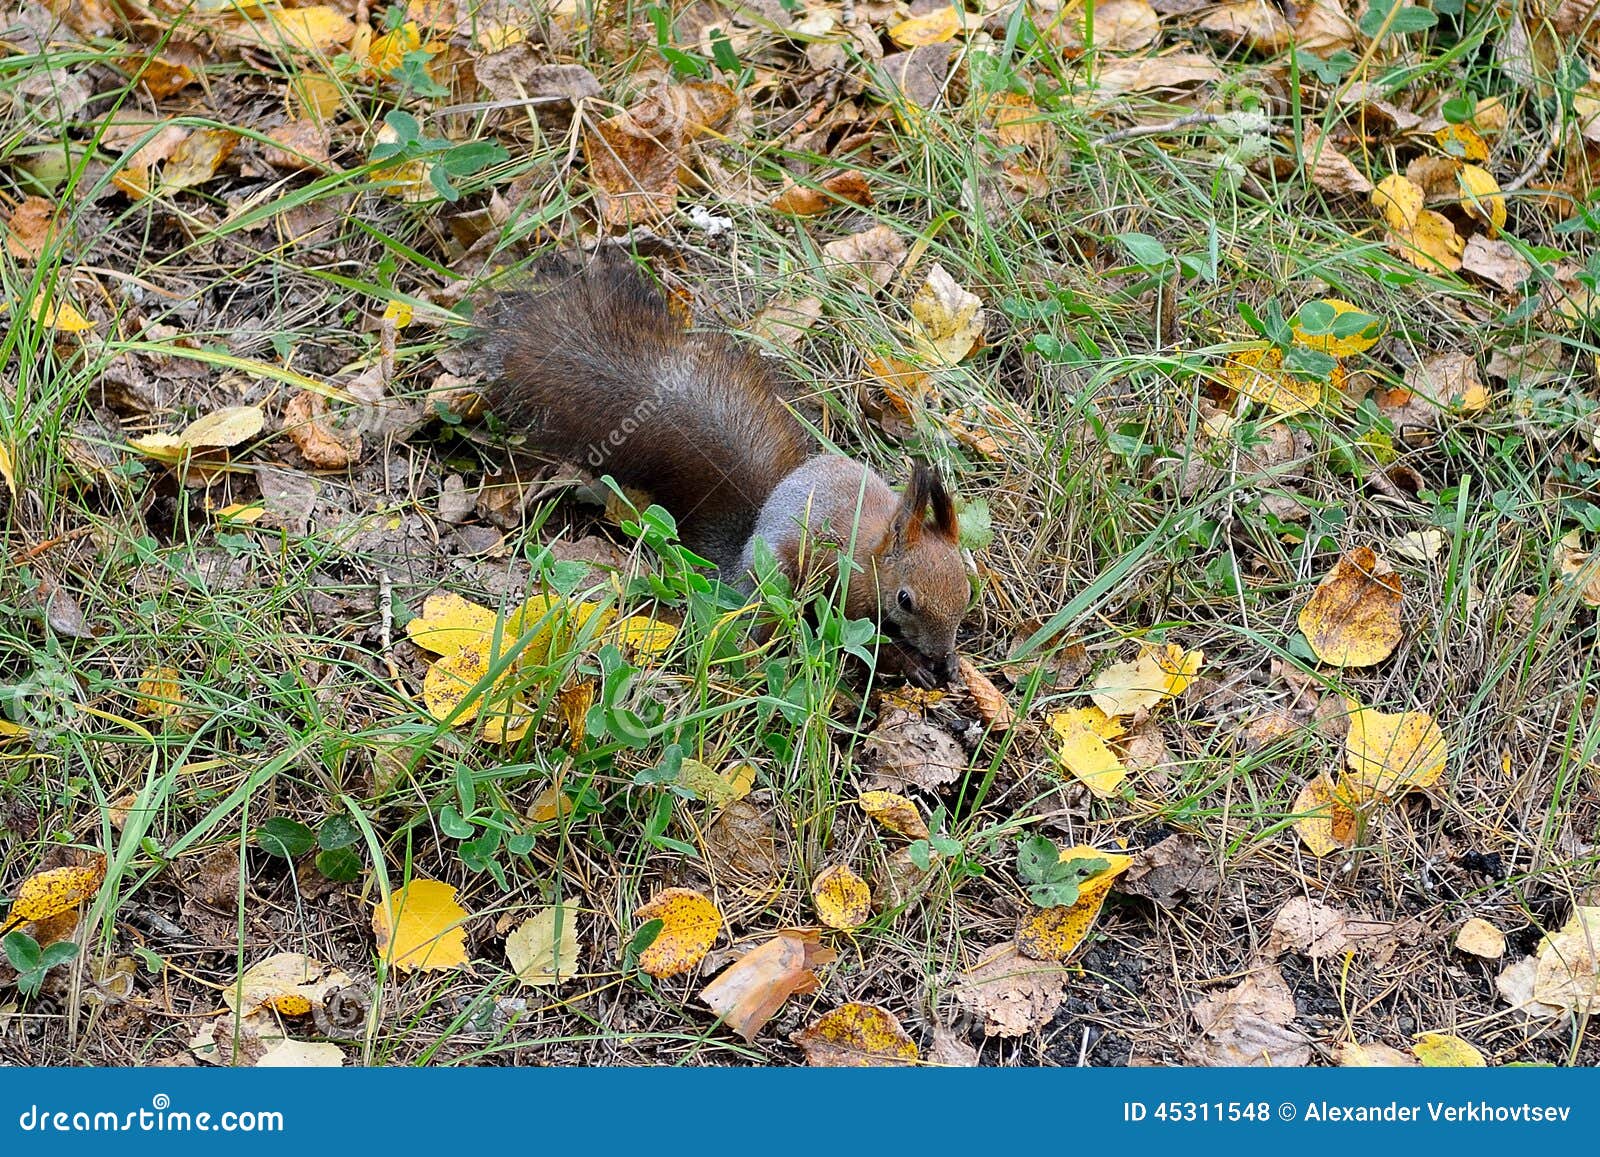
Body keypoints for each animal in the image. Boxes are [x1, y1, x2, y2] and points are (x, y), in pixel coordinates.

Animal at [480, 254, 966, 688]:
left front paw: (951, 665)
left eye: (968, 588)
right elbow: (863, 640)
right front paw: (911, 664)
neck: (871, 552)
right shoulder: (845, 596)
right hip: (775, 582)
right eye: (905, 599)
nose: (942, 651)